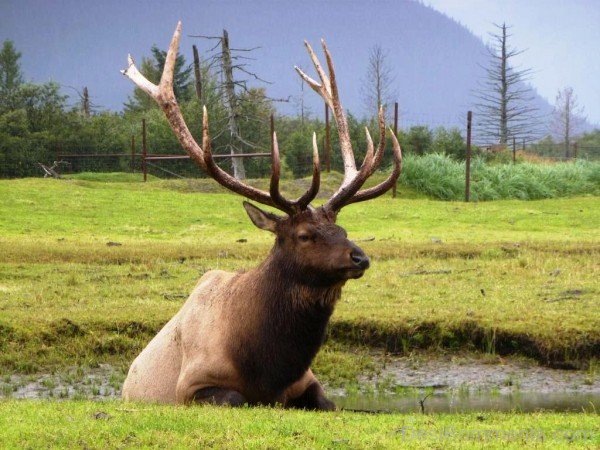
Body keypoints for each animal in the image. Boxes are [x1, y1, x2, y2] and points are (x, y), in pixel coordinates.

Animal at [120, 22, 404, 410]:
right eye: (304, 235)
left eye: (343, 229)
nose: (359, 257)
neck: (268, 369)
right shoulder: (191, 386)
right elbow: (234, 398)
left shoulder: (308, 381)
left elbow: (328, 403)